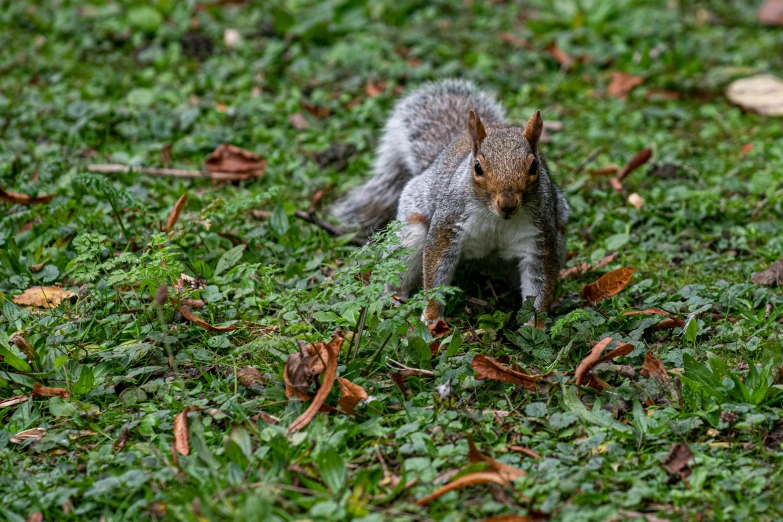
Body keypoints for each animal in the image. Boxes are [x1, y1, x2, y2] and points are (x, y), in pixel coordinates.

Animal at [332, 78, 568, 320]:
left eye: (534, 166)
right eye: (477, 167)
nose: (508, 205)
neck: (496, 219)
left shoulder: (540, 235)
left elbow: (539, 284)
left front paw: (534, 324)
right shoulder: (448, 223)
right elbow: (435, 272)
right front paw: (431, 319)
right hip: (409, 236)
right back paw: (395, 299)